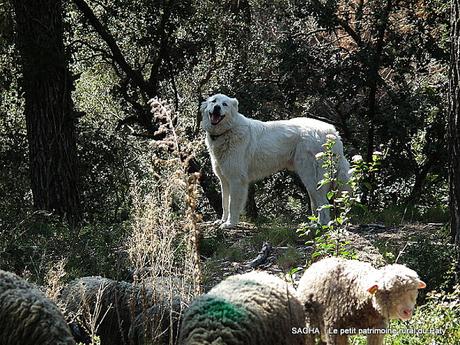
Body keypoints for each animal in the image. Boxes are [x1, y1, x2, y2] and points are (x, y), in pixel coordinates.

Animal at [200, 94, 348, 227]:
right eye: (214, 101)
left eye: (225, 104)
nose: (217, 108)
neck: (227, 131)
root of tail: (333, 132)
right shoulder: (224, 180)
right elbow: (224, 203)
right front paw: (222, 221)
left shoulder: (237, 180)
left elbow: (232, 205)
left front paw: (230, 224)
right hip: (310, 180)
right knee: (317, 203)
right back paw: (314, 224)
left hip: (311, 177)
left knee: (324, 203)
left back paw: (321, 226)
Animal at [296, 256, 426, 342]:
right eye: (388, 292)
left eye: (415, 290)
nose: (407, 311)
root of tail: (321, 260)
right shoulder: (335, 329)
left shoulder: (377, 328)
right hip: (309, 320)